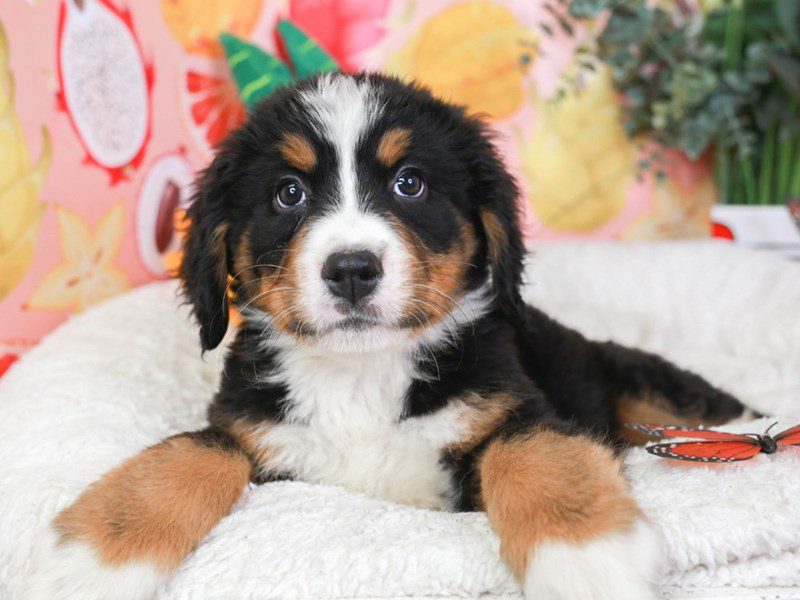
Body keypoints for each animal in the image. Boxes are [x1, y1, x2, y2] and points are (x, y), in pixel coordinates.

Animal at [34, 72, 748, 596]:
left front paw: (585, 558)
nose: (352, 269)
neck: (360, 377)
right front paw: (95, 559)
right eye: (288, 193)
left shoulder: (515, 411)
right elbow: (188, 455)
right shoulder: (254, 432)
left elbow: (535, 457)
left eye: (410, 184)